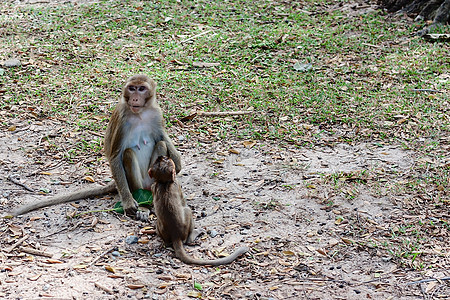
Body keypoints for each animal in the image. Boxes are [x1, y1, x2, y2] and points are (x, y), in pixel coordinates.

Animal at [8, 74, 181, 219]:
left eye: (142, 89)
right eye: (132, 88)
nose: (135, 98)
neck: (139, 114)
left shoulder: (156, 113)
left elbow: (162, 137)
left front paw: (177, 162)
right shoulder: (121, 118)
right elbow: (115, 155)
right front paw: (128, 202)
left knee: (160, 144)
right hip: (134, 185)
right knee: (128, 154)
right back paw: (143, 206)